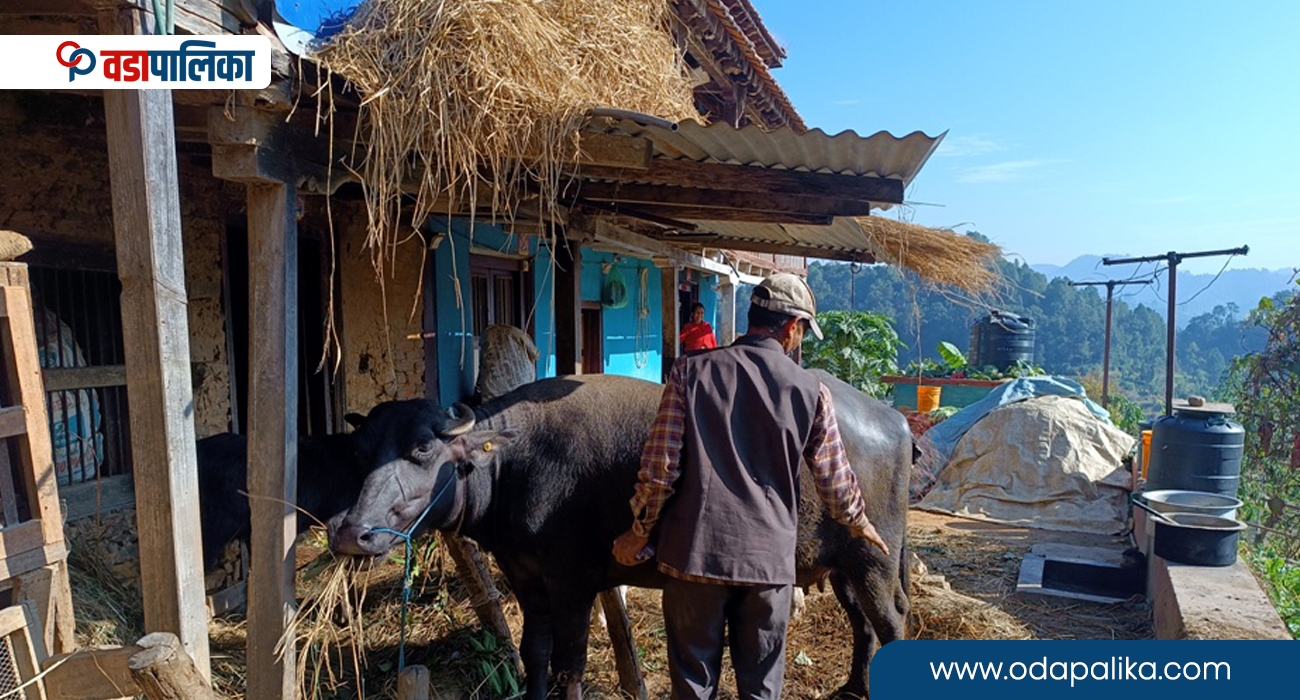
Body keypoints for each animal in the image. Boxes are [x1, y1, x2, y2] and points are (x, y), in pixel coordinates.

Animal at [330, 374, 909, 697]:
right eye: (359, 452)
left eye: (423, 449)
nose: (352, 534)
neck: (515, 463)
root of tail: (894, 419)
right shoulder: (525, 579)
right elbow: (534, 653)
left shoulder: (572, 584)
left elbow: (570, 664)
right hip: (844, 566)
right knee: (863, 625)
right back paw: (853, 687)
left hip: (875, 562)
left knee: (892, 622)